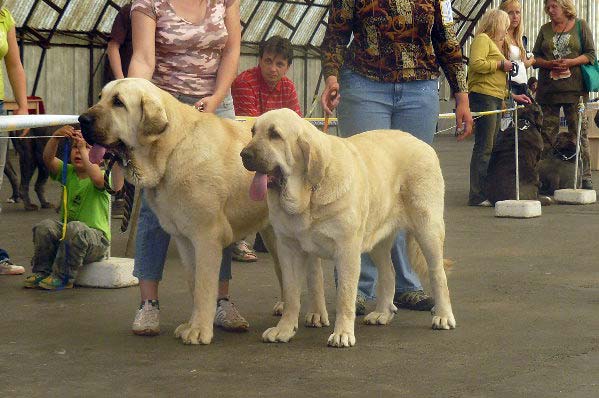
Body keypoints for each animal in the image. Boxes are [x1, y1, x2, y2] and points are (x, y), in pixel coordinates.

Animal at [79, 78, 328, 346]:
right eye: (101, 97)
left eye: (118, 102)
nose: (82, 119)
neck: (172, 148)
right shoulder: (185, 240)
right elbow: (193, 283)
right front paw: (192, 324)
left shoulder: (206, 237)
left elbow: (205, 286)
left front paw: (199, 330)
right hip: (275, 234)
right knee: (283, 269)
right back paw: (284, 306)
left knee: (315, 271)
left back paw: (316, 313)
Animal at [241, 107, 458, 346]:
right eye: (253, 131)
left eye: (275, 135)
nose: (244, 154)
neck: (308, 194)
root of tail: (421, 143)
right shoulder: (288, 249)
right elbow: (291, 293)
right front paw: (285, 329)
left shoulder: (346, 251)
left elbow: (345, 296)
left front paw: (342, 334)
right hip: (377, 239)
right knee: (388, 272)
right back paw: (382, 313)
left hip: (427, 229)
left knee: (438, 273)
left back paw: (443, 316)